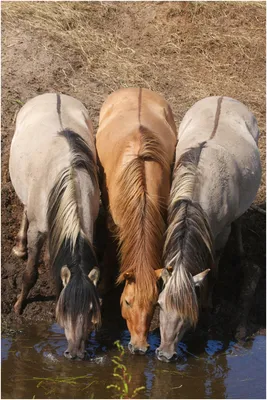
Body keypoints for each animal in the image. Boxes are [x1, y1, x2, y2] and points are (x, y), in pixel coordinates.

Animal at [9, 93, 101, 360]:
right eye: (66, 308)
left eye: (91, 310)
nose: (76, 354)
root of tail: (53, 94)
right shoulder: (38, 231)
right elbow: (30, 273)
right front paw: (18, 307)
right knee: (25, 210)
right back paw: (19, 247)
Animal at [97, 86, 178, 354]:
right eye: (127, 302)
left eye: (155, 304)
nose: (140, 347)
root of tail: (137, 89)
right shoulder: (113, 222)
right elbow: (111, 250)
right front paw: (104, 284)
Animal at [156, 96, 262, 362]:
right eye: (159, 304)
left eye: (189, 312)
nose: (164, 355)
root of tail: (225, 98)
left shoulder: (220, 236)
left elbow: (213, 269)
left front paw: (208, 303)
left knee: (238, 222)